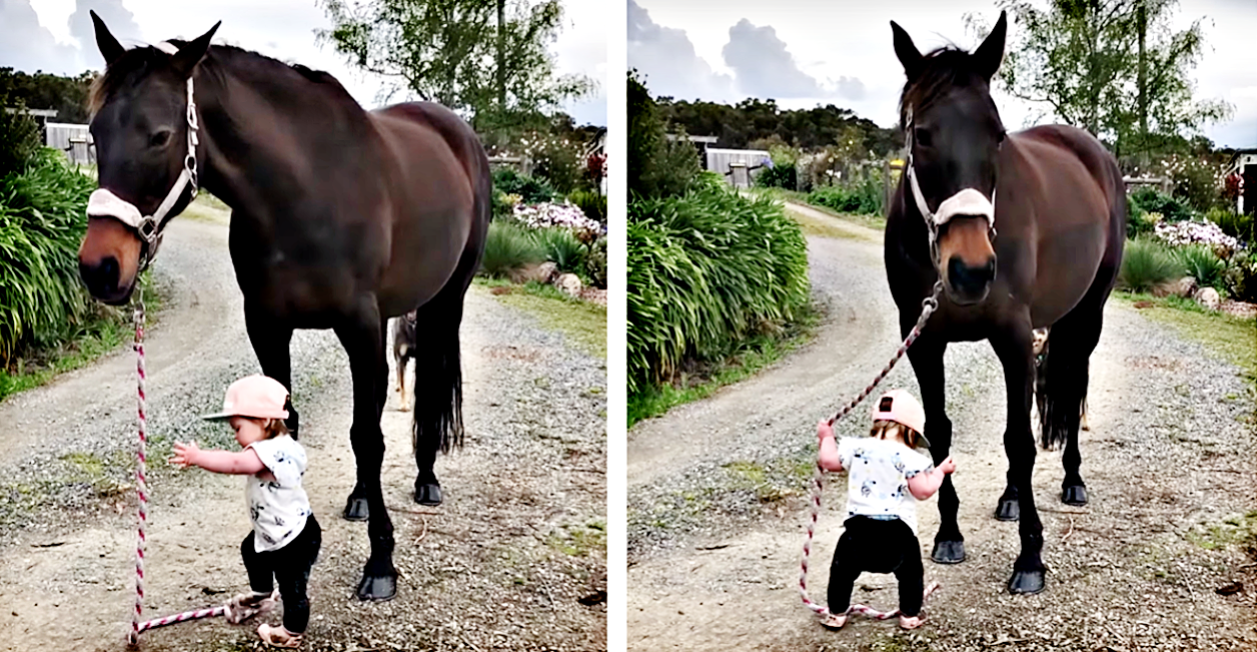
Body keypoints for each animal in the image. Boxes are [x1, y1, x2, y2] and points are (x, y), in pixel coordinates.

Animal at [77, 13, 491, 601]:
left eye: (160, 136)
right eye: (95, 133)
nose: (101, 268)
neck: (302, 192)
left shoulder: (359, 327)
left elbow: (367, 438)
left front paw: (381, 563)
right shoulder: (269, 327)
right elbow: (286, 427)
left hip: (443, 302)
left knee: (428, 385)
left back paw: (426, 480)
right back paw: (360, 498)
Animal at [884, 11, 1125, 594]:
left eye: (996, 135)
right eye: (921, 135)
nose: (970, 270)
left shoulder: (1013, 334)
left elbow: (1021, 439)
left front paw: (1031, 557)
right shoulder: (923, 341)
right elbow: (941, 432)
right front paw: (948, 533)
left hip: (1085, 316)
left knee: (1072, 387)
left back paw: (1073, 481)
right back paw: (1013, 495)